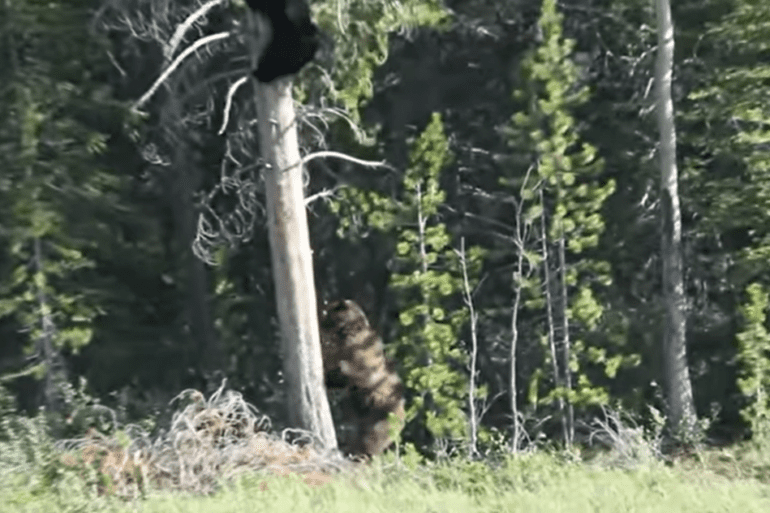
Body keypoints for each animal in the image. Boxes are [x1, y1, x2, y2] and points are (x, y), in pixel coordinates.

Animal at [319, 300, 405, 457]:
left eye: (327, 312)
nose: (321, 322)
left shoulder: (361, 354)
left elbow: (351, 371)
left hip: (383, 416)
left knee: (372, 439)